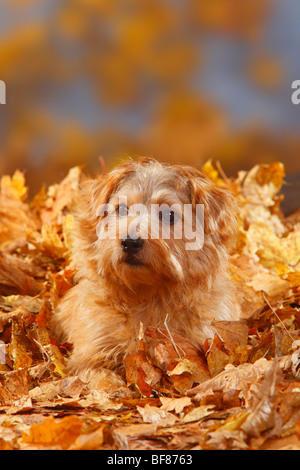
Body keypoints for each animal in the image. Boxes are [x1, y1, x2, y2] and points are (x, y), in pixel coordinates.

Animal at [52, 158, 241, 392]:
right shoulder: (89, 353)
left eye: (169, 215)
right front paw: (112, 388)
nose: (130, 242)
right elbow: (95, 373)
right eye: (122, 209)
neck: (147, 294)